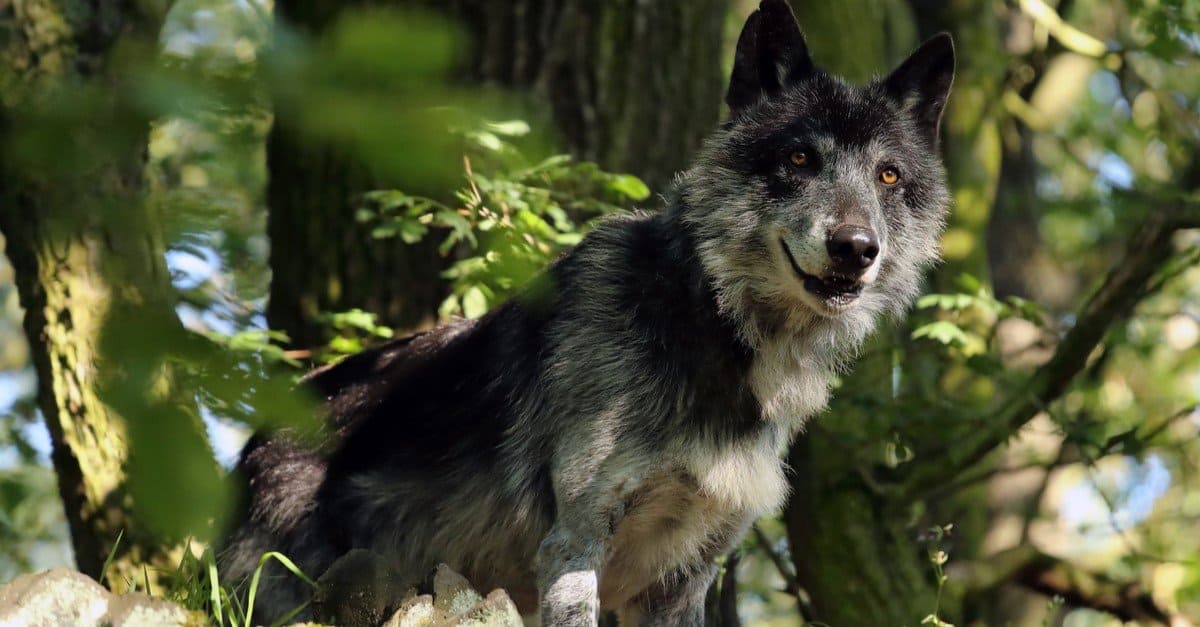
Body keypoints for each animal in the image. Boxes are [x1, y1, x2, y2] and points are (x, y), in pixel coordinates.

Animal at [220, 2, 955, 619]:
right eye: (800, 157)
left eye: (888, 176)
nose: (855, 248)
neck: (703, 319)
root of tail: (255, 442)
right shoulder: (575, 544)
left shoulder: (684, 578)